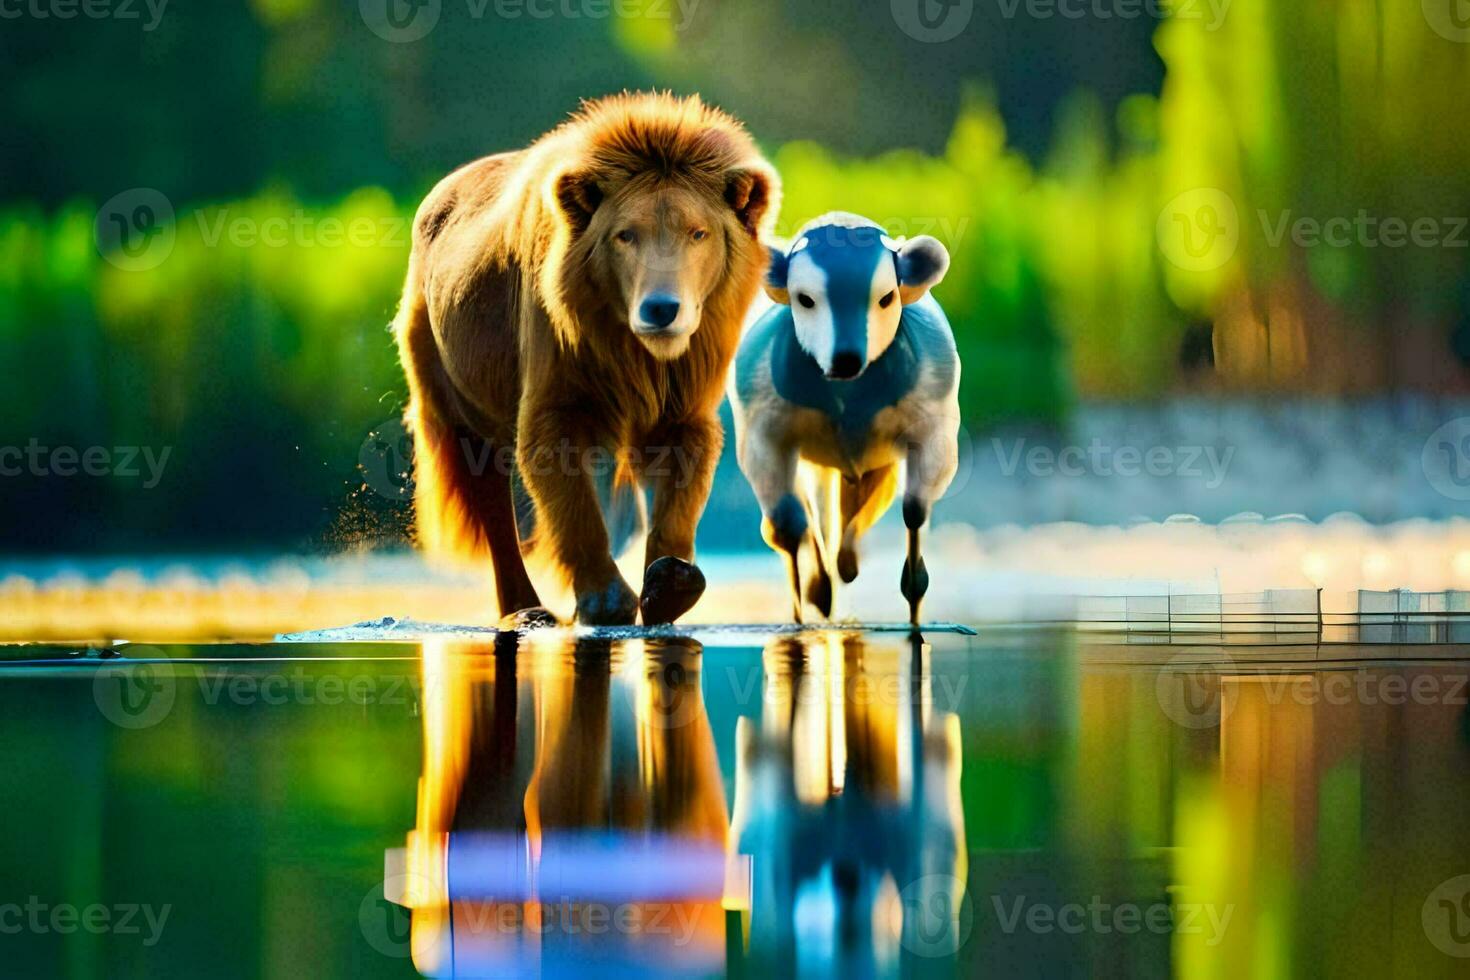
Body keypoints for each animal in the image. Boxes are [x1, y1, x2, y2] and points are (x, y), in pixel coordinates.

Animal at [391, 94, 782, 628]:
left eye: (698, 232)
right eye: (626, 235)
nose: (661, 308)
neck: (633, 350)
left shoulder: (684, 388)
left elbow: (681, 475)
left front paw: (669, 581)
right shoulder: (560, 375)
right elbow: (565, 482)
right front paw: (604, 599)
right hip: (446, 373)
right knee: (486, 490)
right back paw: (526, 609)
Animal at [726, 214, 958, 628]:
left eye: (886, 297)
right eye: (805, 299)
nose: (846, 358)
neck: (848, 401)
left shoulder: (934, 416)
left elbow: (915, 508)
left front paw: (915, 608)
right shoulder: (763, 427)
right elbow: (786, 525)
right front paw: (800, 613)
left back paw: (846, 562)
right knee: (809, 518)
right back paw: (823, 585)